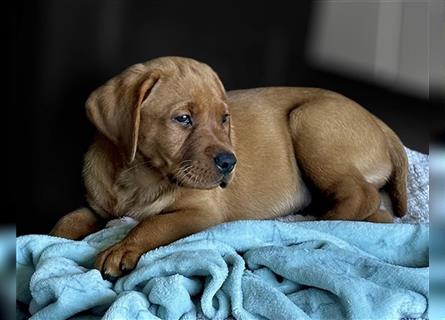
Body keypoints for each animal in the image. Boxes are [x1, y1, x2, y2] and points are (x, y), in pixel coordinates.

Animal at [50, 56, 408, 278]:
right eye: (183, 118)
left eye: (224, 119)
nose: (229, 162)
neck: (140, 176)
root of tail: (381, 124)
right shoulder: (98, 207)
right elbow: (70, 219)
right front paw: (50, 240)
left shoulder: (201, 212)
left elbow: (152, 224)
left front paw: (122, 248)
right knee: (378, 209)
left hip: (309, 119)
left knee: (361, 196)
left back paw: (313, 224)